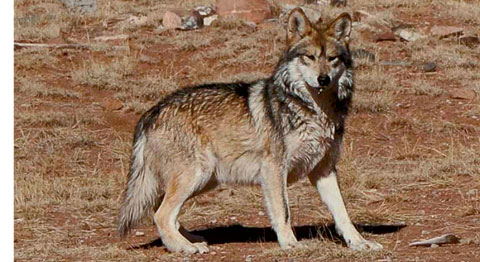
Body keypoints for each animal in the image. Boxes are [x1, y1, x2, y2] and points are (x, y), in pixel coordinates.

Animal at [116, 7, 382, 254]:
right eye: (310, 57)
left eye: (333, 58)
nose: (323, 79)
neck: (314, 111)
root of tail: (152, 111)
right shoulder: (274, 169)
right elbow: (284, 211)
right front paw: (290, 244)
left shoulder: (324, 170)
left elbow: (343, 213)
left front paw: (360, 243)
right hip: (196, 175)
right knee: (161, 215)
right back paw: (186, 247)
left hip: (204, 180)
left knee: (160, 211)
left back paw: (189, 240)